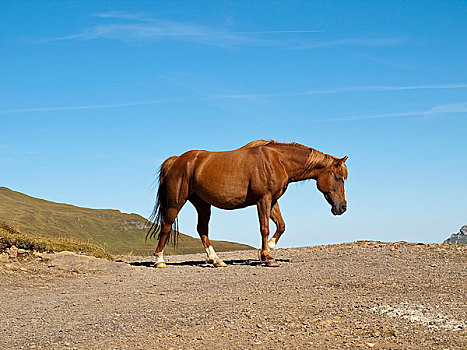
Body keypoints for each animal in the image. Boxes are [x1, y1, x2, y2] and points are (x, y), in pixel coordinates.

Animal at [147, 139, 348, 268]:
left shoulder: (272, 200)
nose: (342, 207)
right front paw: (267, 257)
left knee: (202, 229)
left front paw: (266, 250)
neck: (277, 161)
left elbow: (281, 226)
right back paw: (159, 261)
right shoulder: (263, 200)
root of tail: (176, 160)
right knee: (166, 226)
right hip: (175, 203)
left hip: (202, 204)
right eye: (338, 177)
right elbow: (264, 228)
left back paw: (216, 260)